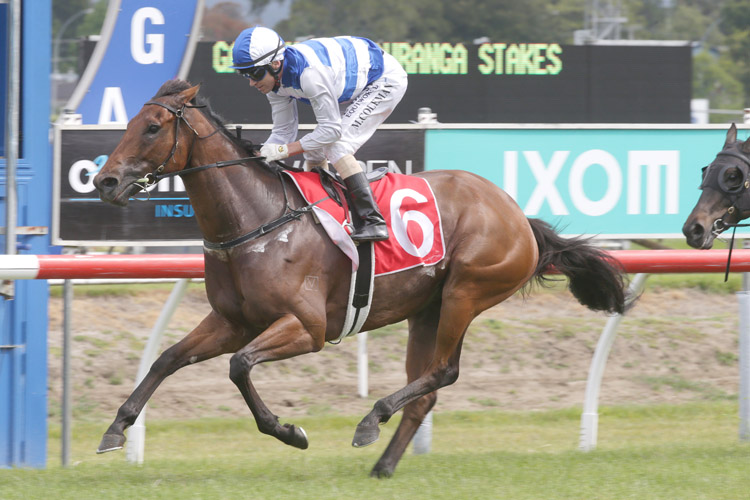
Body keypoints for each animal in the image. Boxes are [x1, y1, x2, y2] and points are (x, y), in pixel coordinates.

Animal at [92, 80, 628, 478]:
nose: (105, 181)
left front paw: (290, 432)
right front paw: (116, 428)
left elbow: (240, 366)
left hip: (467, 291)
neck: (258, 221)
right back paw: (382, 466)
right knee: (425, 391)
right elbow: (166, 358)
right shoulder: (232, 321)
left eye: (152, 127)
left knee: (442, 372)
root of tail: (517, 214)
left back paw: (372, 419)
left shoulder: (306, 328)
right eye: (129, 124)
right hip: (427, 310)